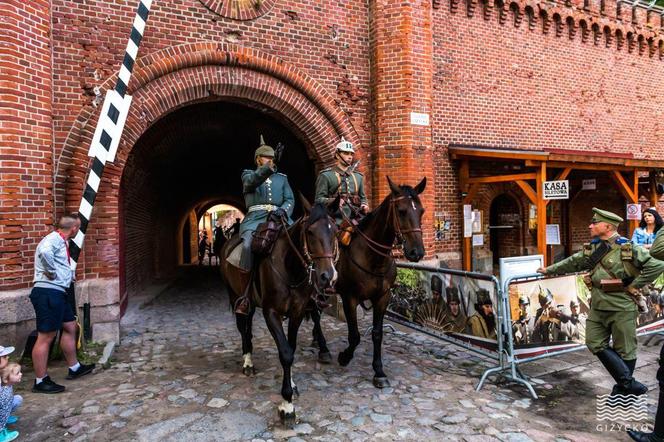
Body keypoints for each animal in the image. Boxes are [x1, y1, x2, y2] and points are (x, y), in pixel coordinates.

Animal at [222, 196, 340, 422]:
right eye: (310, 232)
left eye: (335, 231)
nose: (327, 277)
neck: (289, 266)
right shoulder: (271, 313)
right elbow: (285, 353)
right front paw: (287, 404)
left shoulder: (297, 312)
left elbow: (291, 348)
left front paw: (292, 385)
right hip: (234, 296)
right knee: (243, 328)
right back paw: (247, 362)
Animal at [332, 177, 426, 390]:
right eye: (401, 210)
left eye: (421, 211)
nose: (417, 252)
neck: (373, 257)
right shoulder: (349, 297)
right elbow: (355, 335)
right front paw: (344, 356)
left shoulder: (383, 297)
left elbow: (377, 333)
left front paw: (379, 371)